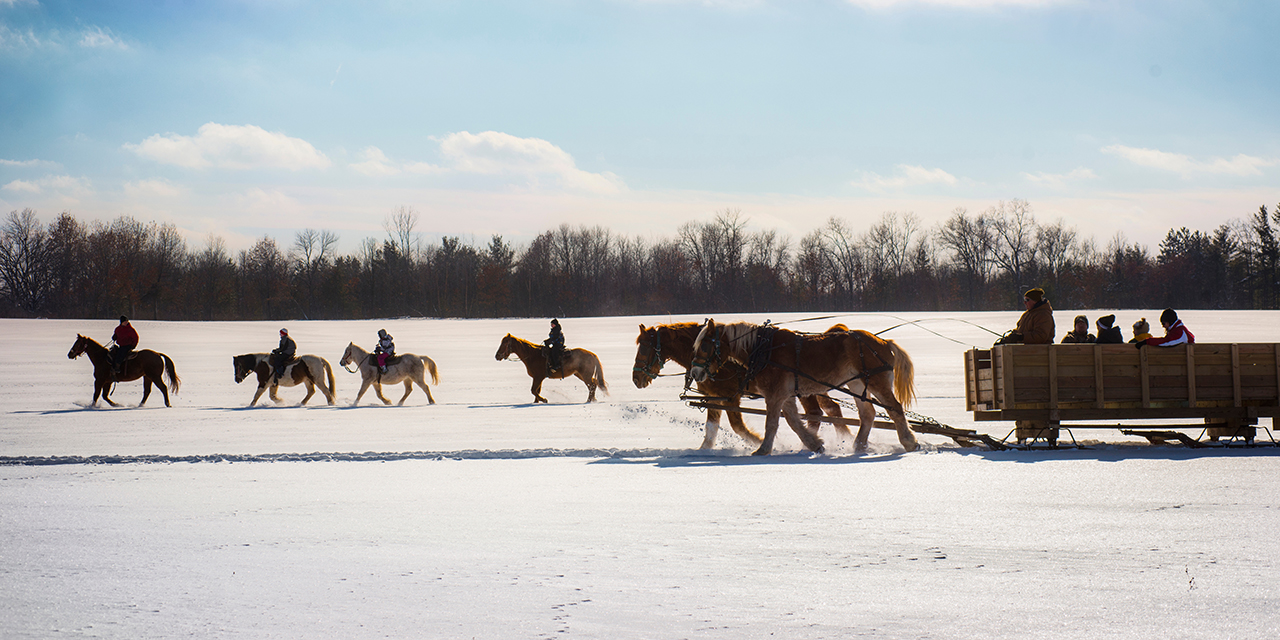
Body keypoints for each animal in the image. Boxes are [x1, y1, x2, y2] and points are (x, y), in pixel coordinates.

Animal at [632, 322, 848, 449]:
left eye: (644, 348)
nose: (635, 378)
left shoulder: (730, 396)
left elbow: (738, 426)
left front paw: (764, 442)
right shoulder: (714, 397)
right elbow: (711, 428)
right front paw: (703, 450)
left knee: (816, 413)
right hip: (815, 389)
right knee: (831, 409)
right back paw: (842, 438)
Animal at [689, 319, 918, 455]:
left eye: (705, 345)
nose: (695, 373)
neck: (763, 350)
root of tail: (884, 341)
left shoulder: (774, 395)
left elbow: (772, 423)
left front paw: (763, 450)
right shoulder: (785, 395)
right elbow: (794, 422)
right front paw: (814, 444)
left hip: (878, 383)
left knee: (895, 409)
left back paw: (909, 442)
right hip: (857, 383)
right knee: (868, 414)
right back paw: (858, 446)